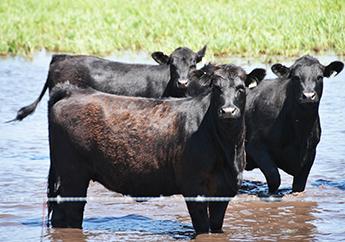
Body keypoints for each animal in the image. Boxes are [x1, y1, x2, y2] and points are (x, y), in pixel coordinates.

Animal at [47, 65, 247, 234]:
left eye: (241, 88)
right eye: (216, 88)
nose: (228, 111)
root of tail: (73, 92)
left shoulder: (225, 189)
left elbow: (216, 225)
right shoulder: (193, 186)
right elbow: (203, 227)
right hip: (74, 175)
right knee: (72, 212)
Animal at [243, 54, 342, 193]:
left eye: (319, 77)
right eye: (296, 77)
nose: (308, 96)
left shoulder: (310, 154)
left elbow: (299, 186)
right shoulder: (255, 146)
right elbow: (274, 177)